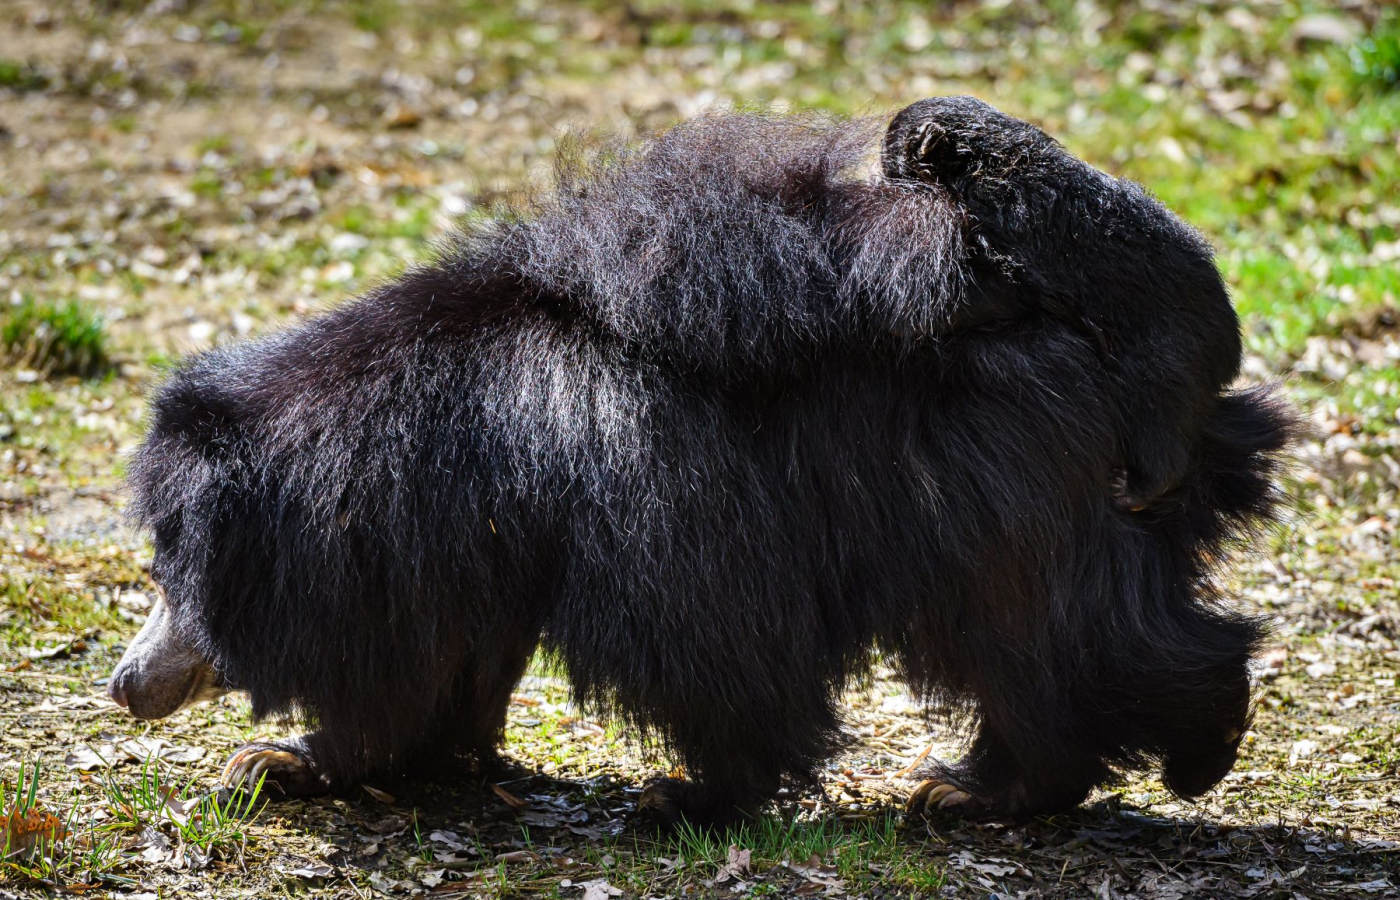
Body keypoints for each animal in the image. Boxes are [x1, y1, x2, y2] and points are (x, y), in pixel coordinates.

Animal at [106, 96, 1288, 823]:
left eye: (172, 579)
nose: (124, 684)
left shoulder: (636, 485)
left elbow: (703, 636)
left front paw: (687, 795)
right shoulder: (470, 548)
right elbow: (442, 665)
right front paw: (289, 764)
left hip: (996, 485)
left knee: (1035, 634)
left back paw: (1120, 760)